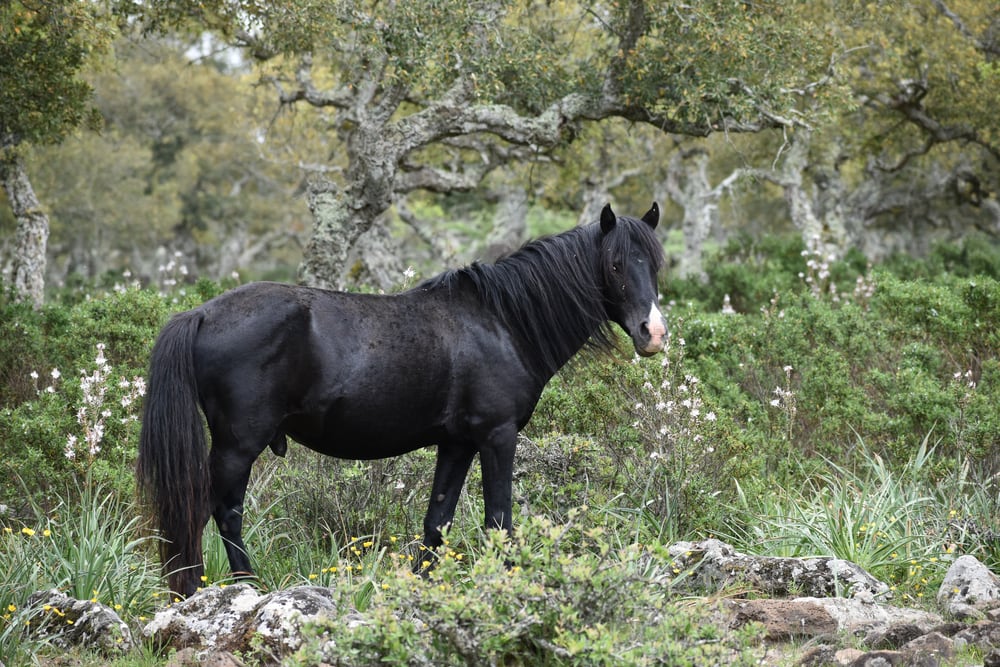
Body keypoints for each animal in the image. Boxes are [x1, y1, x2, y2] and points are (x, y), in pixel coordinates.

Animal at [133, 202, 664, 596]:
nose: (653, 334)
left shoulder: (457, 444)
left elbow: (437, 524)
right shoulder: (497, 437)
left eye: (656, 263)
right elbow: (499, 522)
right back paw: (235, 589)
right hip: (238, 445)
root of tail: (201, 313)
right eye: (616, 264)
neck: (502, 322)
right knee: (213, 512)